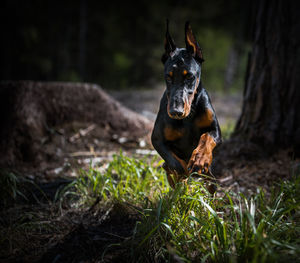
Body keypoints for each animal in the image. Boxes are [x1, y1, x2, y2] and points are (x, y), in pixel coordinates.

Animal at [151, 20, 221, 190]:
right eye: (168, 77)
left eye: (189, 76)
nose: (175, 111)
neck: (189, 117)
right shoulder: (157, 139)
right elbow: (175, 163)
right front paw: (182, 173)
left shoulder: (215, 129)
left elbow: (206, 137)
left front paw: (200, 159)